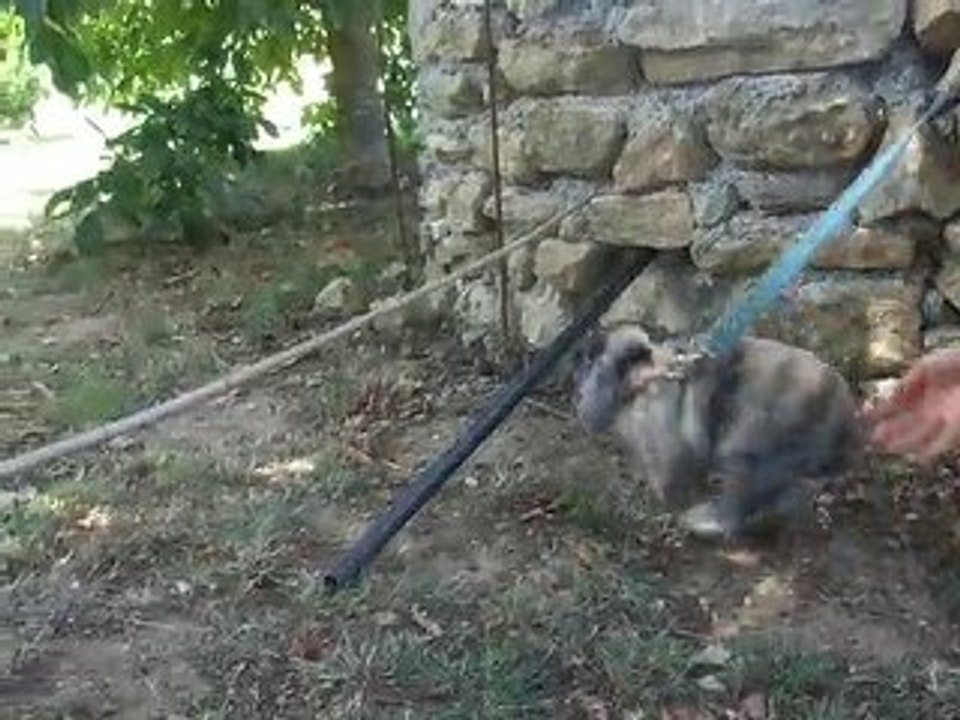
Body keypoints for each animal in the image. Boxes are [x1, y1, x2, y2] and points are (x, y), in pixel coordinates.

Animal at [572, 321, 864, 541]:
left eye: (591, 360)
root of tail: (845, 416)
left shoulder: (665, 446)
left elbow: (667, 474)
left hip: (746, 451)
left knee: (736, 506)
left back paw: (702, 521)